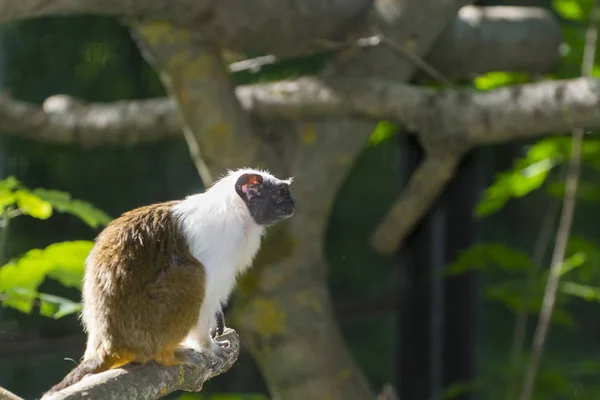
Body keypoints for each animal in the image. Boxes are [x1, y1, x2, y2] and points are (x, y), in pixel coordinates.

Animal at [42, 167, 296, 396]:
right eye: (281, 192)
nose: (293, 203)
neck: (236, 213)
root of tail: (107, 342)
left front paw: (217, 321)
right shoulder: (219, 246)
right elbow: (206, 296)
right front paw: (207, 346)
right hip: (146, 324)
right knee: (192, 274)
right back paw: (165, 356)